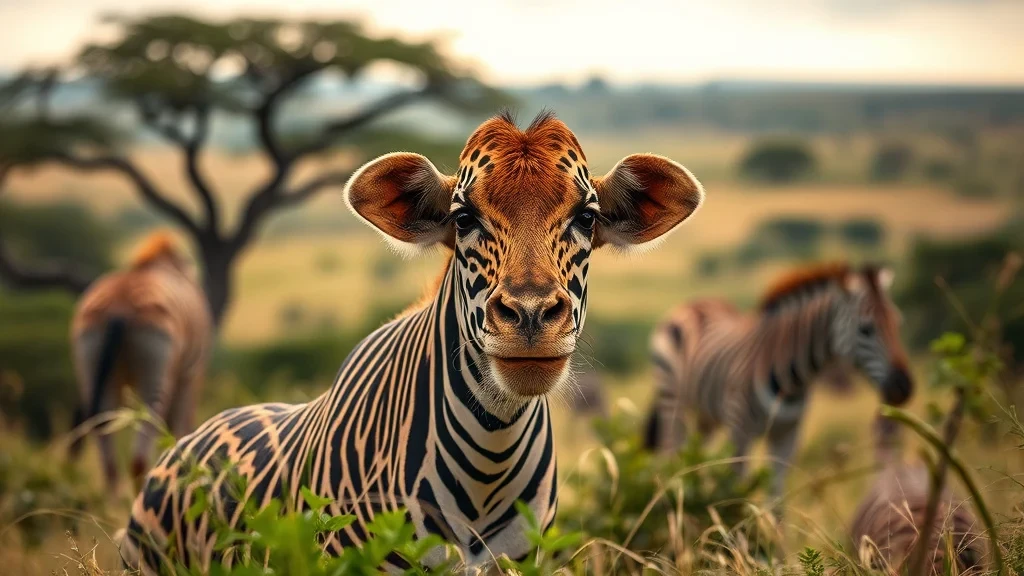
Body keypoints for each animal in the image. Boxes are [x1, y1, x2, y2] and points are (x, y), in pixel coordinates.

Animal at [70, 231, 212, 491]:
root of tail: (119, 307)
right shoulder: (191, 374)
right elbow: (182, 429)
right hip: (155, 382)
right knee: (138, 458)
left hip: (94, 376)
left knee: (109, 460)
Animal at [644, 263, 914, 498]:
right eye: (865, 329)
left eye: (898, 323)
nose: (905, 388)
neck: (792, 383)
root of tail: (690, 304)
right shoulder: (740, 430)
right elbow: (738, 489)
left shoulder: (788, 435)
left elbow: (776, 497)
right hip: (672, 401)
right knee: (670, 454)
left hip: (706, 416)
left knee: (695, 456)